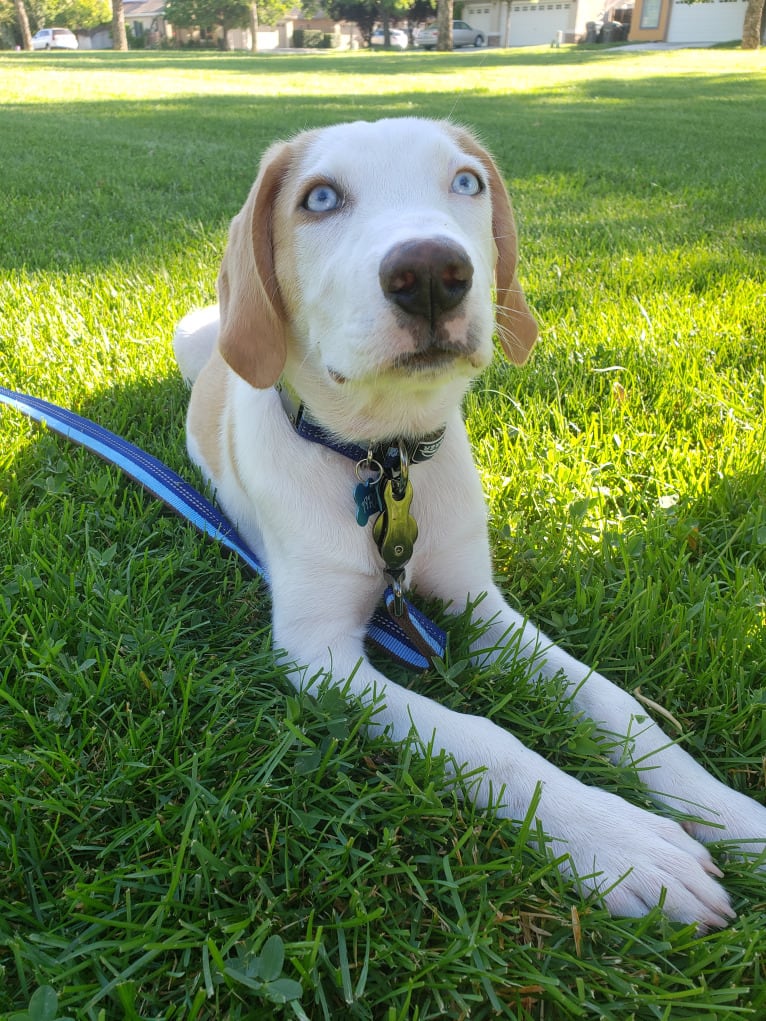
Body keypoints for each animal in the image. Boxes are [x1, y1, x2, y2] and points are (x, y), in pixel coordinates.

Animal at [175, 115, 766, 931]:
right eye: (319, 197)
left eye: (466, 181)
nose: (431, 272)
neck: (385, 460)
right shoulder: (318, 654)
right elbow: (483, 737)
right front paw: (623, 843)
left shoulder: (481, 604)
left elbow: (615, 702)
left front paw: (724, 811)